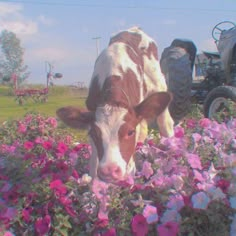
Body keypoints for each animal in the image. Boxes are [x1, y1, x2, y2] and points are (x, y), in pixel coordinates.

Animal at [56, 26, 174, 183]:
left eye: (130, 132)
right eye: (94, 133)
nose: (110, 171)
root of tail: (134, 28)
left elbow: (130, 167)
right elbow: (93, 165)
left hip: (158, 82)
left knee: (165, 123)